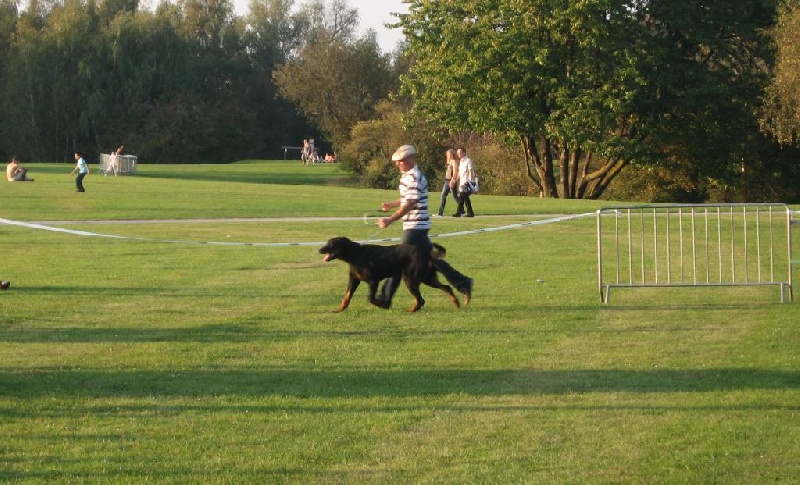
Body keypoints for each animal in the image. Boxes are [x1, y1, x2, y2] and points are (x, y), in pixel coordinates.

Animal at [318, 236, 456, 312]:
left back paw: (412, 310)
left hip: (410, 279)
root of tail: (426, 254)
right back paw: (457, 303)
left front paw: (381, 304)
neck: (355, 254)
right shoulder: (354, 280)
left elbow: (370, 298)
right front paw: (339, 309)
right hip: (427, 278)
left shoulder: (373, 281)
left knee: (421, 299)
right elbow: (346, 297)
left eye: (332, 244)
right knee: (447, 288)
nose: (319, 249)